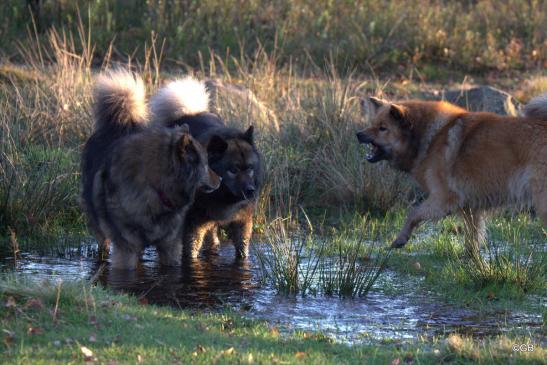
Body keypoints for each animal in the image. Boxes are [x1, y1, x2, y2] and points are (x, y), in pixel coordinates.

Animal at [358, 94, 544, 258]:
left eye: (382, 128)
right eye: (372, 124)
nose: (358, 134)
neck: (428, 137)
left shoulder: (443, 198)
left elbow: (413, 214)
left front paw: (400, 239)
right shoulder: (470, 207)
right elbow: (472, 236)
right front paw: (472, 260)